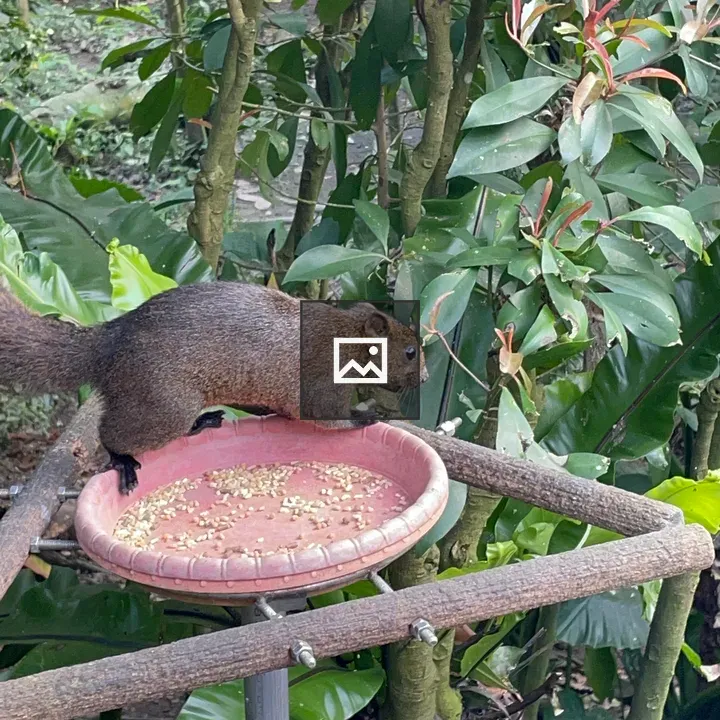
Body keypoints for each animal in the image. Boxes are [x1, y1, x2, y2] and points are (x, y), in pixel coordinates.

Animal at [0, 281, 427, 495]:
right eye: (409, 352)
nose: (424, 379)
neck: (346, 340)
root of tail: (109, 343)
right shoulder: (320, 385)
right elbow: (330, 418)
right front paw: (368, 414)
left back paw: (204, 423)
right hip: (165, 405)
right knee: (112, 432)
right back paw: (123, 460)